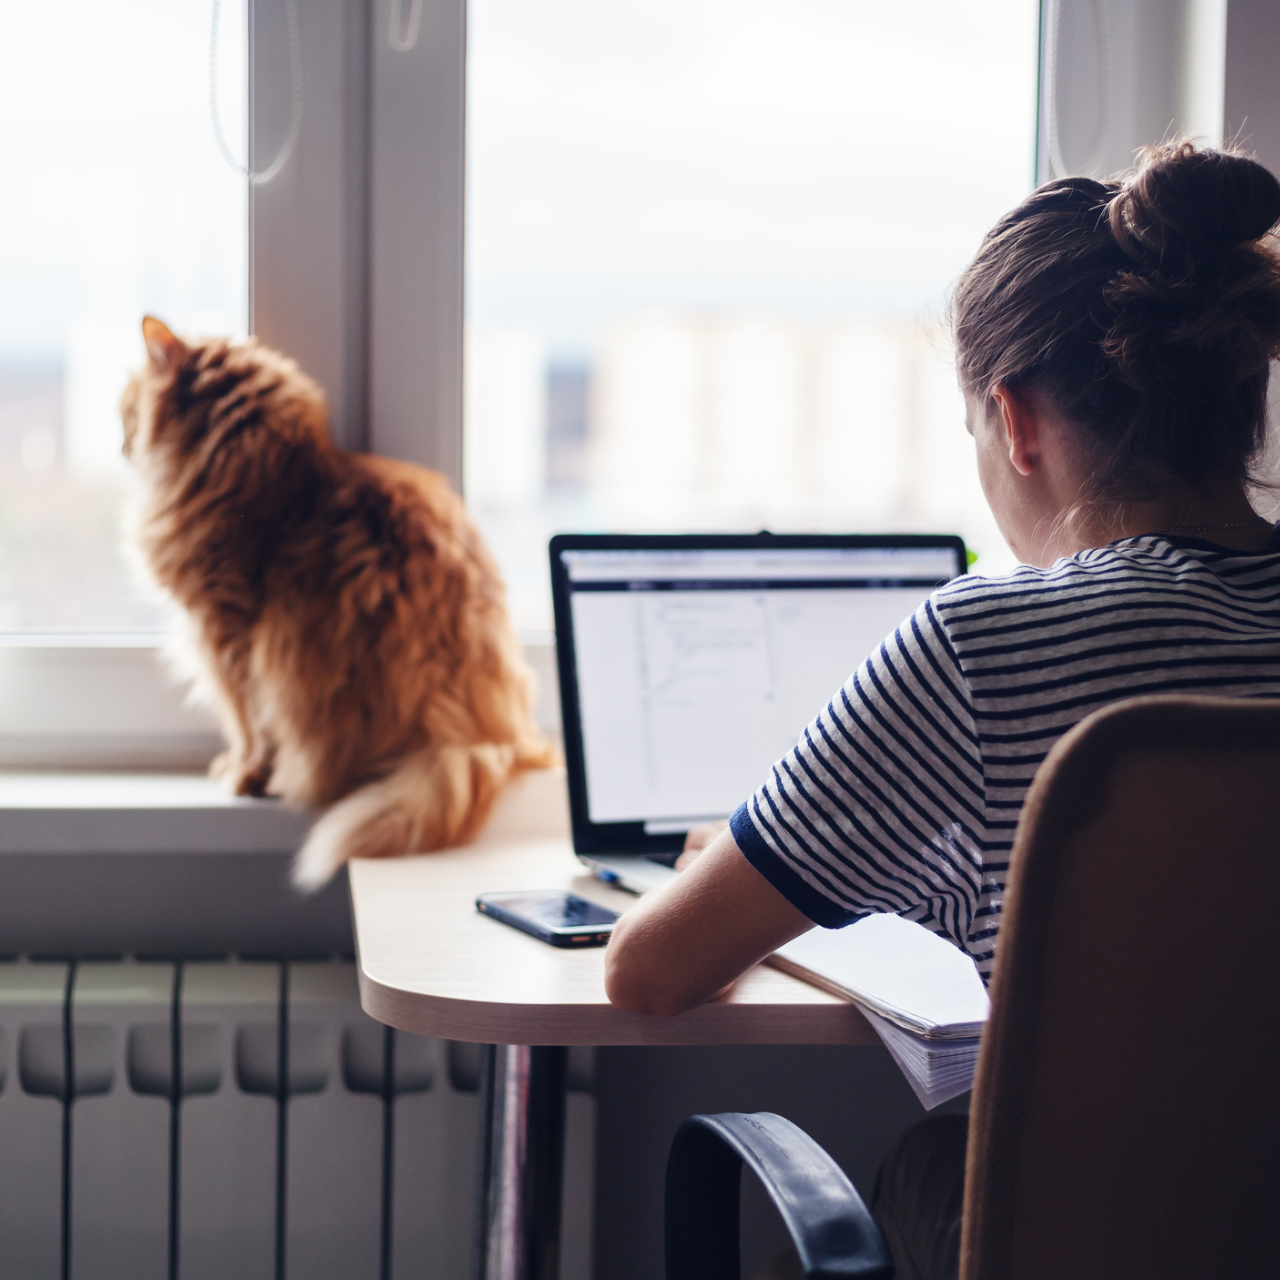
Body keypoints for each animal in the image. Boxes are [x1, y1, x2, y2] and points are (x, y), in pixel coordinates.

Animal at [120, 314, 555, 885]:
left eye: (126, 408)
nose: (121, 444)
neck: (266, 472)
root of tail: (477, 736)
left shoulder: (227, 633)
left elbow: (247, 722)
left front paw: (242, 774)